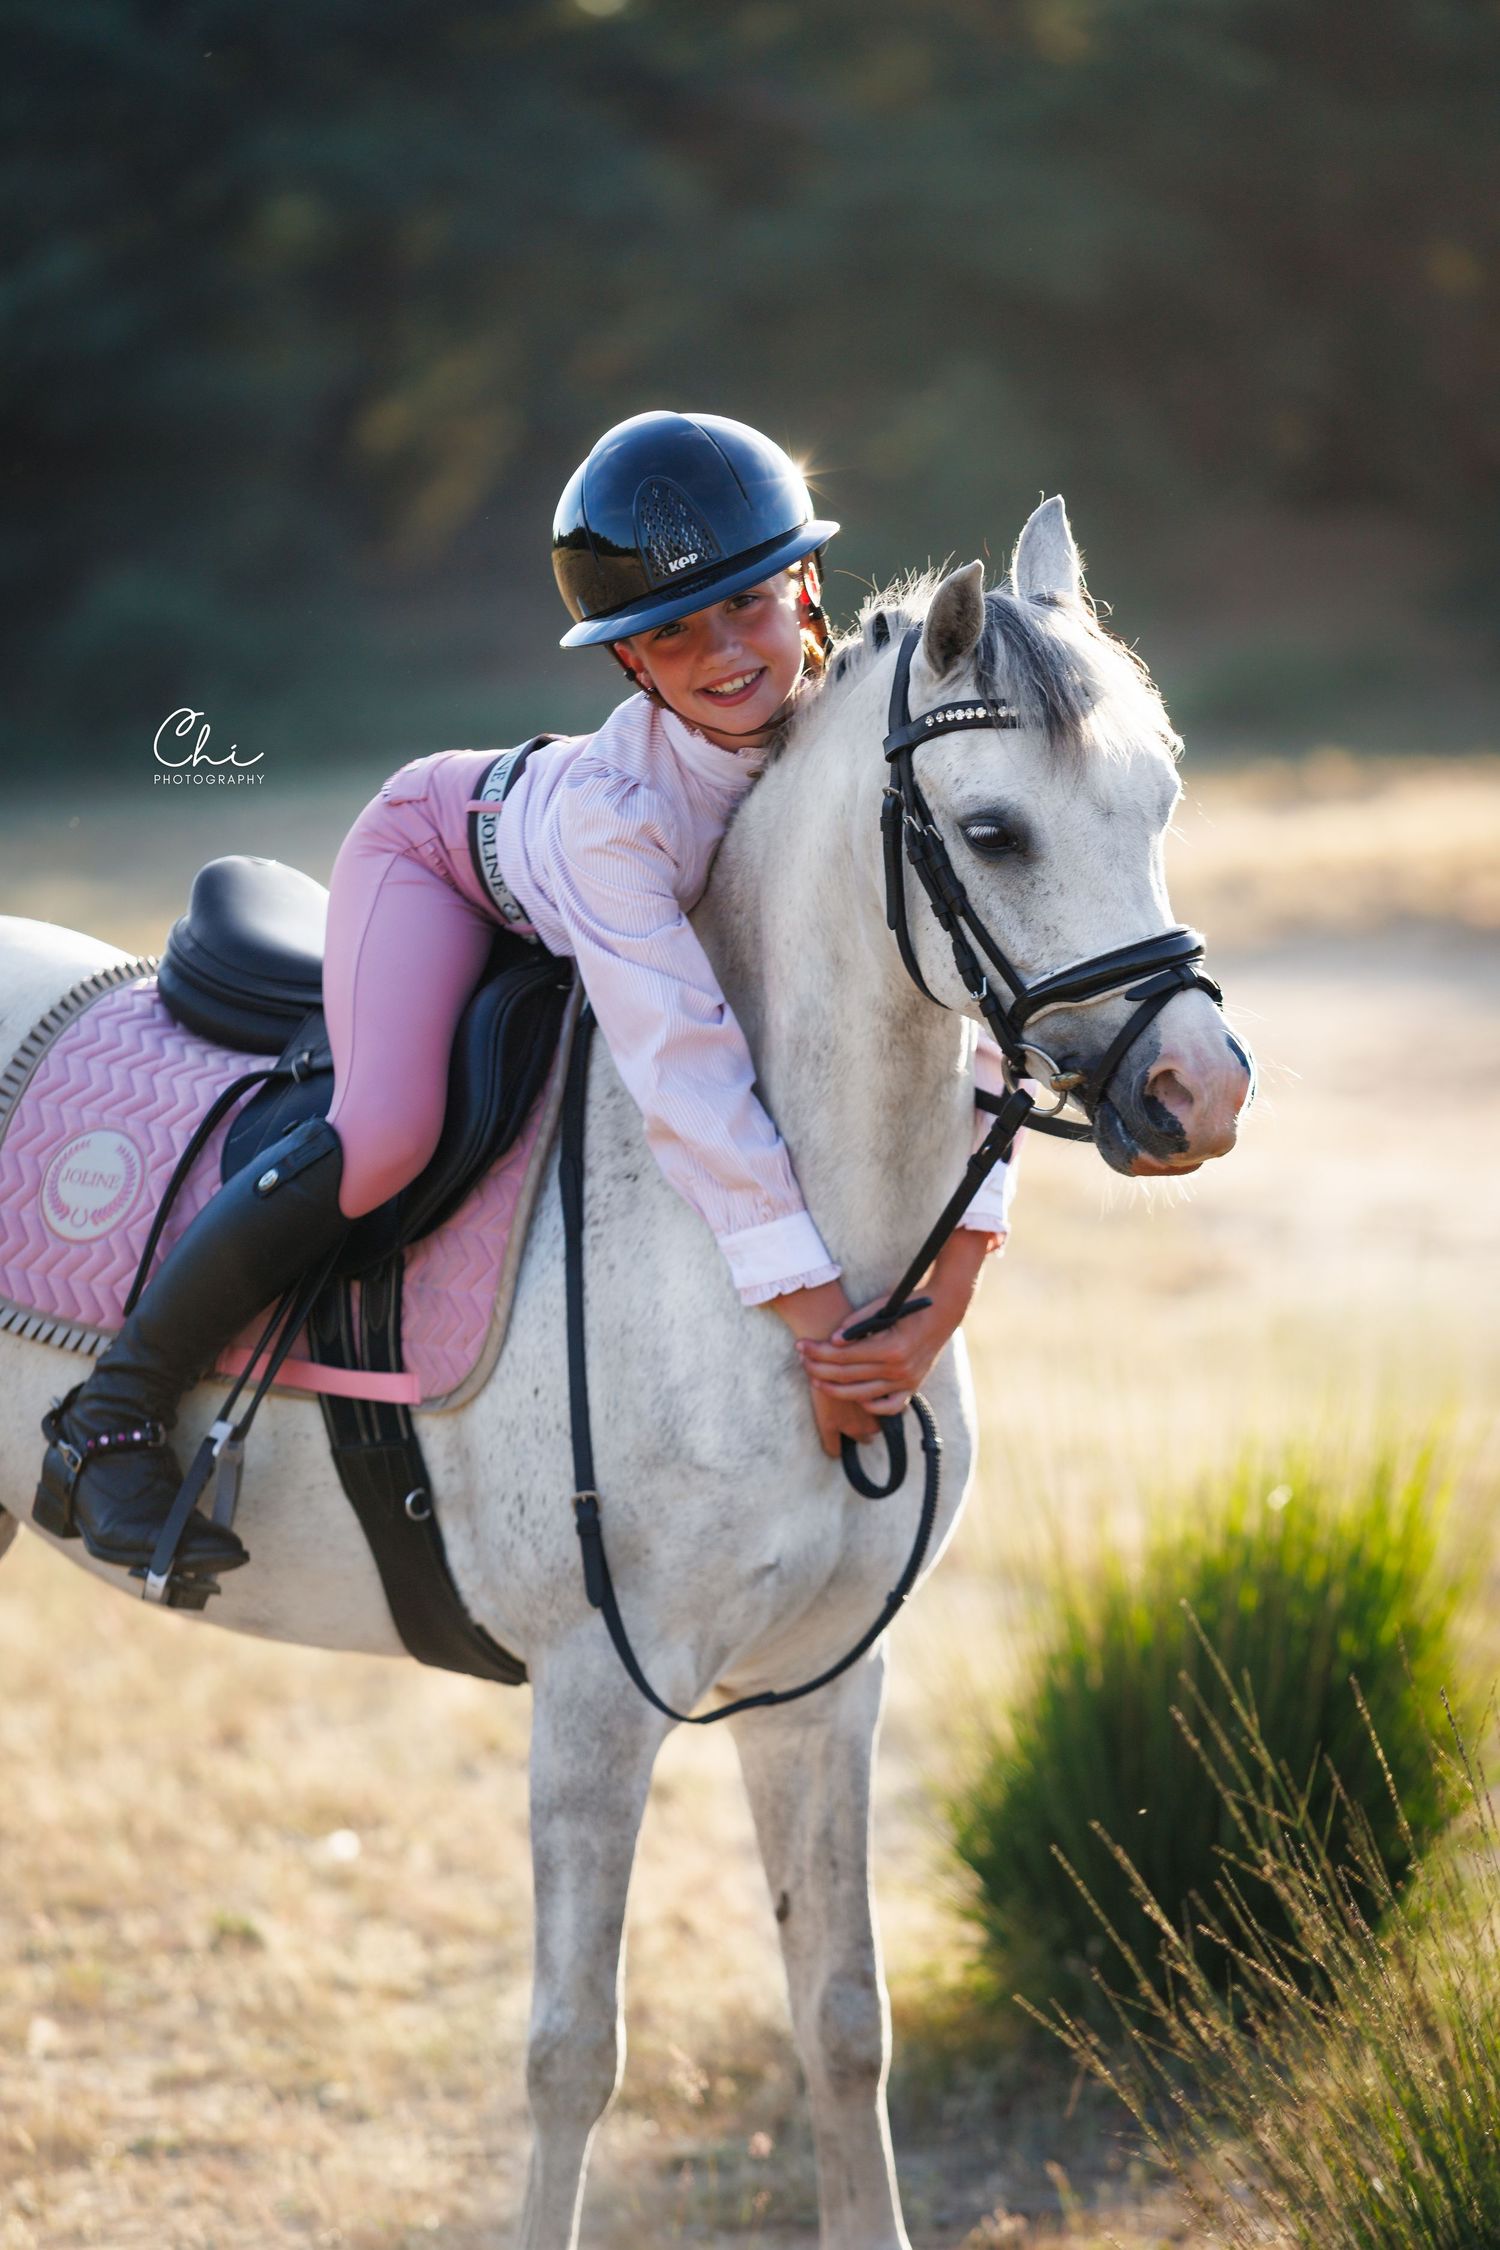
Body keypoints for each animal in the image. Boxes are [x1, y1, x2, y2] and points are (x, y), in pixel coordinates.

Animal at [0, 498, 1251, 2250]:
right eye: (997, 832)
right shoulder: (596, 1699)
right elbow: (570, 2054)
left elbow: (842, 2018)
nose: (1202, 1089)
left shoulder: (827, 1685)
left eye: (1161, 799)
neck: (769, 1257)